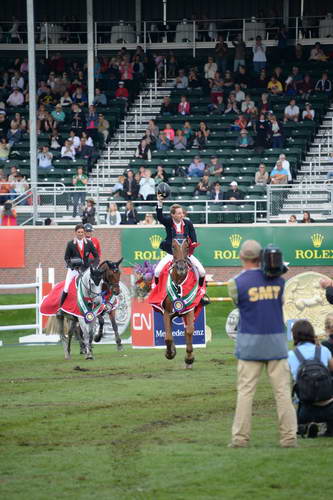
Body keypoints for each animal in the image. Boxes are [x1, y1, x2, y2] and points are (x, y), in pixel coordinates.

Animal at [163, 238, 196, 368]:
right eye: (173, 247)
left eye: (187, 247)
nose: (181, 268)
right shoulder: (167, 312)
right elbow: (168, 336)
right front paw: (169, 353)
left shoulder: (189, 310)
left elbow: (190, 330)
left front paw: (189, 358)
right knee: (169, 332)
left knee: (186, 330)